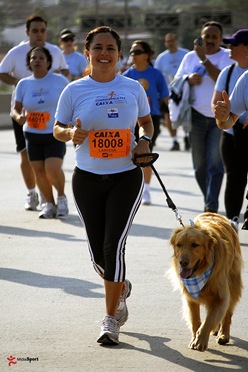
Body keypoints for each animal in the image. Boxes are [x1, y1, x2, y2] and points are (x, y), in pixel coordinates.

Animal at [169, 212, 242, 352]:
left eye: (195, 245)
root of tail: (212, 213)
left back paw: (223, 334)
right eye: (178, 245)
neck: (200, 272)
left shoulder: (220, 296)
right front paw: (195, 337)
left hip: (233, 283)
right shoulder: (190, 297)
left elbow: (208, 320)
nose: (182, 262)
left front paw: (200, 340)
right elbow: (195, 321)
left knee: (228, 313)